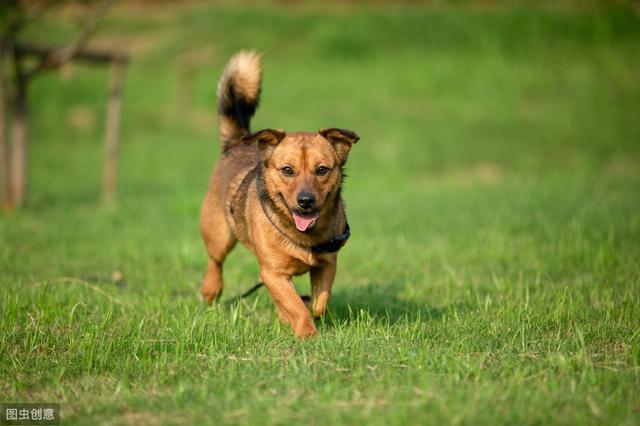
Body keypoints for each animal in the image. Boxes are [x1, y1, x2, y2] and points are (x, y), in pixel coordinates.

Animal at [199, 50, 358, 340]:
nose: (305, 201)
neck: (304, 236)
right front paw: (306, 334)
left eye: (321, 170)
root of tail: (235, 142)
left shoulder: (327, 264)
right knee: (215, 262)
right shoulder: (272, 273)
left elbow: (317, 303)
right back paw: (211, 290)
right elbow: (295, 305)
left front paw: (304, 309)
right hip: (219, 235)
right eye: (287, 170)